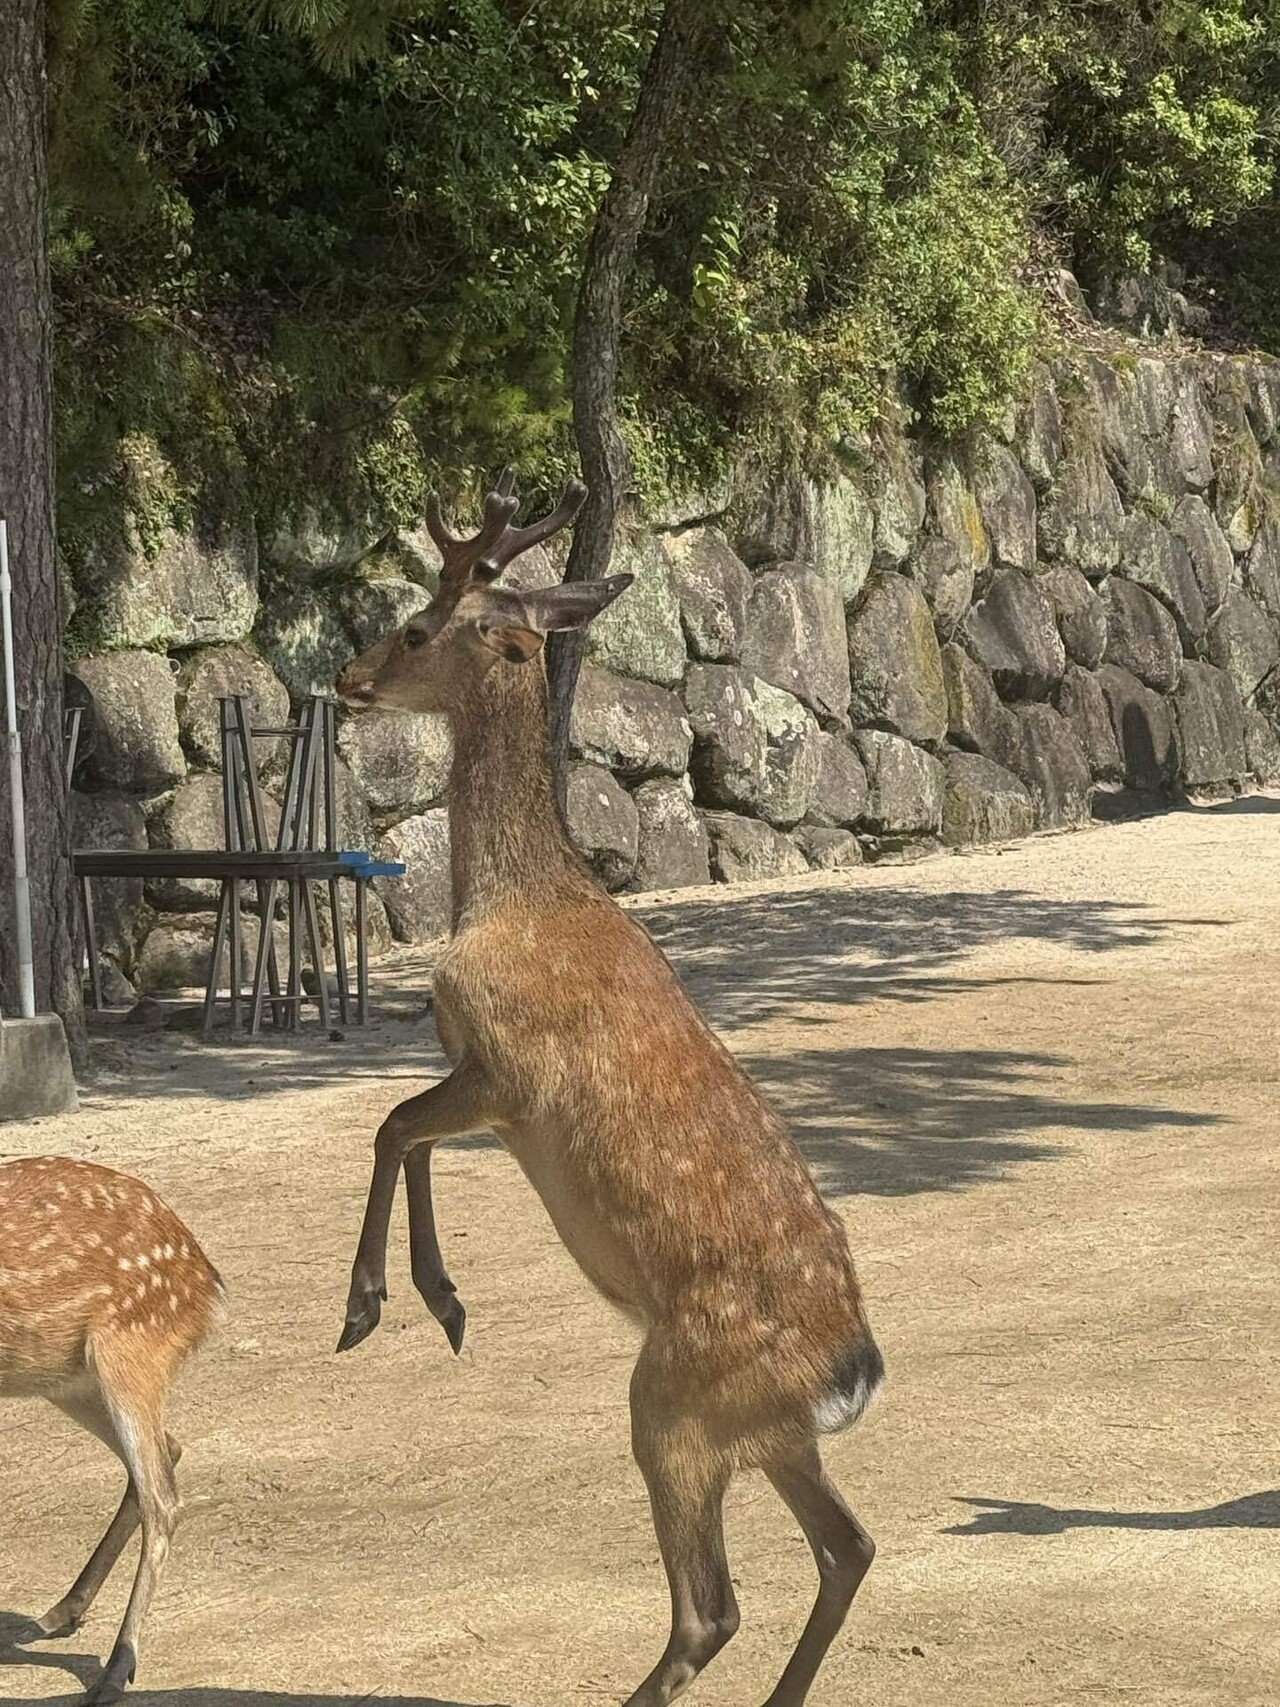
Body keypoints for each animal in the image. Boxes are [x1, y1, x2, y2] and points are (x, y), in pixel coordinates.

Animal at [0, 1155, 222, 1704]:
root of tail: (205, 1277)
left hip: (128, 1346)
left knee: (163, 1496)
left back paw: (115, 1670)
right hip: (66, 1379)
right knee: (167, 1452)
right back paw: (61, 1612)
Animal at [335, 471, 883, 1707]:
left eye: (417, 626)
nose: (347, 676)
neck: (507, 899)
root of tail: (848, 1374)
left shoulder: (507, 1071)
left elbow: (393, 1126)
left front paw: (383, 1303)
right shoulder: (478, 1077)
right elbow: (406, 1131)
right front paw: (437, 1301)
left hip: (673, 1404)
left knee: (710, 1609)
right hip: (766, 1431)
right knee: (849, 1546)